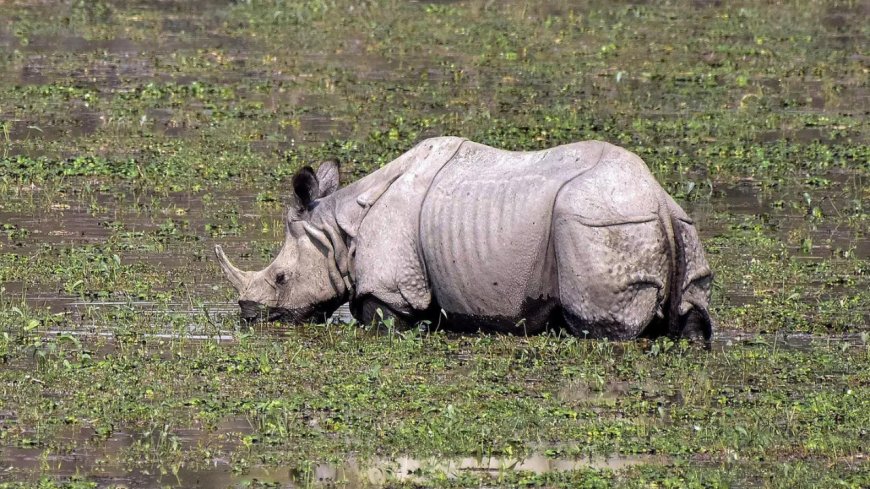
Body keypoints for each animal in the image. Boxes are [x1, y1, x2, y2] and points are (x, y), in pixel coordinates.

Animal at [215, 137, 714, 340]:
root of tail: (656, 198)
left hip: (597, 225)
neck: (338, 230)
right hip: (672, 224)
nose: (247, 314)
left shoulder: (391, 289)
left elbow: (379, 319)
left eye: (281, 278)